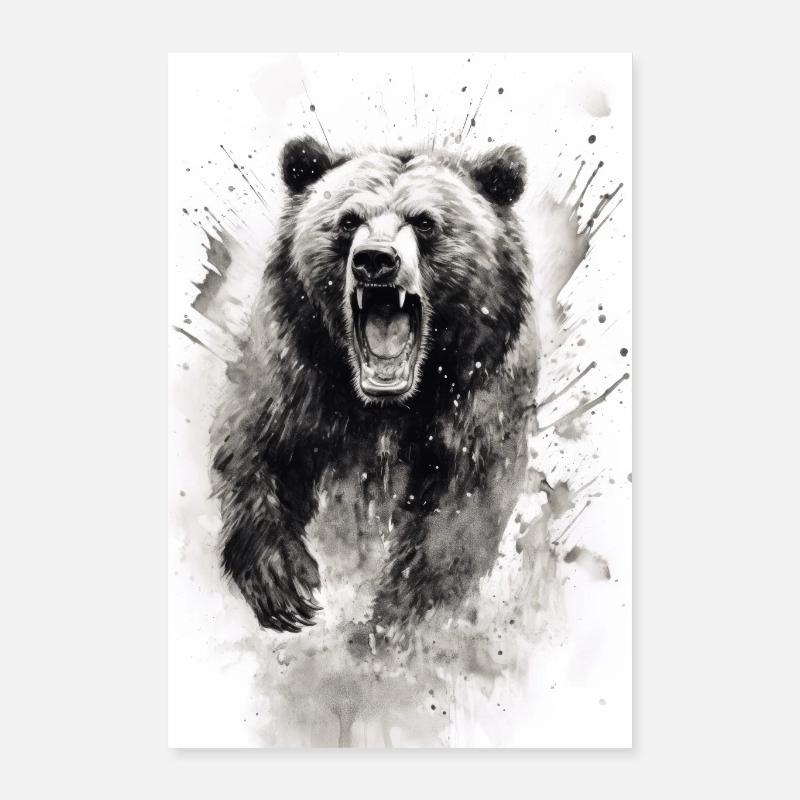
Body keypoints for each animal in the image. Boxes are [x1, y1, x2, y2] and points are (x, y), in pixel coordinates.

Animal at [210, 136, 539, 634]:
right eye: (349, 220)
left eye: (424, 222)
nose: (375, 260)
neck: (388, 406)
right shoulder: (295, 375)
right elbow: (254, 447)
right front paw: (283, 582)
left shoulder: (481, 396)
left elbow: (461, 508)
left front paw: (397, 617)